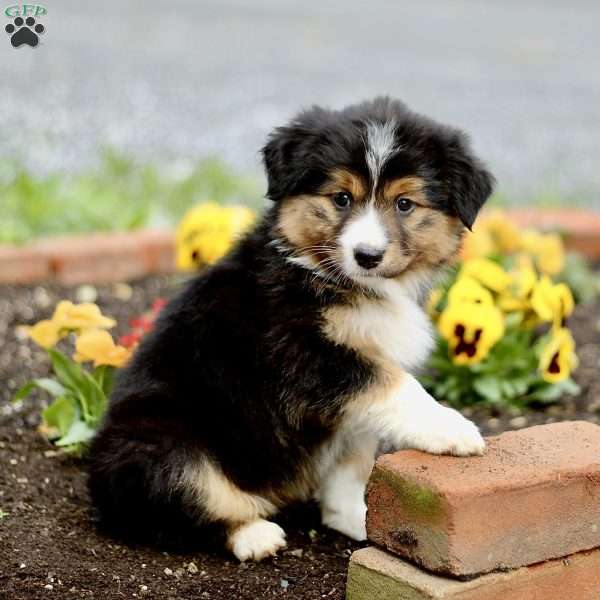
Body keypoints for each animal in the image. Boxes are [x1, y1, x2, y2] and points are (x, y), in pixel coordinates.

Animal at [88, 97, 492, 564]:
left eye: (405, 204)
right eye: (341, 198)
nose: (367, 255)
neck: (340, 280)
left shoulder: (350, 400)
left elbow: (353, 462)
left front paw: (357, 519)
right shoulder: (306, 353)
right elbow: (398, 387)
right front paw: (453, 429)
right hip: (162, 445)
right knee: (176, 505)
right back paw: (254, 534)